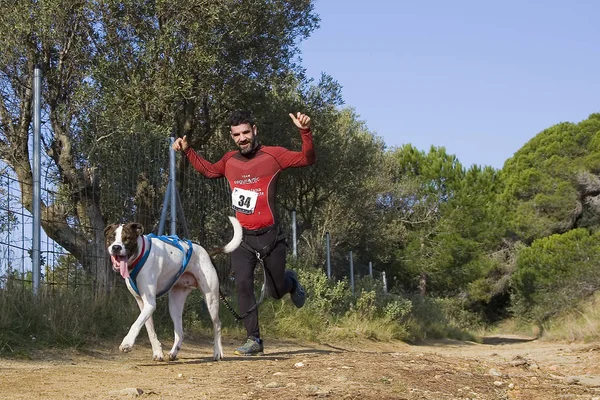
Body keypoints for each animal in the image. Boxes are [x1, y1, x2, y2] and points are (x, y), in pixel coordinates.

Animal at [104, 217, 243, 360]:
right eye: (111, 237)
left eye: (127, 238)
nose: (116, 247)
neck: (140, 254)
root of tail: (207, 253)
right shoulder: (142, 303)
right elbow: (149, 329)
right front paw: (158, 352)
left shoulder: (150, 303)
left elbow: (135, 324)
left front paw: (127, 343)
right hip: (175, 303)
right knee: (180, 331)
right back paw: (174, 351)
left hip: (211, 299)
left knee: (217, 325)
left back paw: (217, 352)